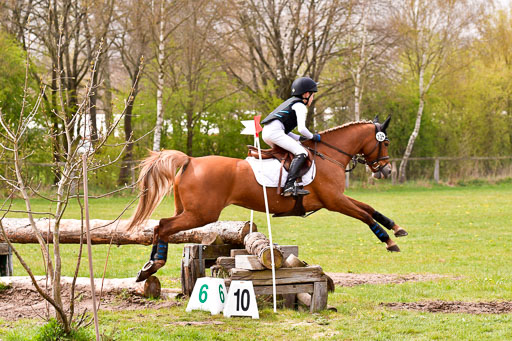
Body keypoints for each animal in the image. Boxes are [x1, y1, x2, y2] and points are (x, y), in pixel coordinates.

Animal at [128, 115, 408, 280]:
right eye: (386, 142)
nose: (386, 170)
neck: (329, 155)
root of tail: (190, 160)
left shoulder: (338, 198)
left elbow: (369, 208)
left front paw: (397, 227)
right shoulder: (334, 201)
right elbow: (364, 216)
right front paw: (389, 242)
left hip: (187, 210)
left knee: (161, 226)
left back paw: (147, 267)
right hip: (201, 214)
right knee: (163, 226)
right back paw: (154, 265)